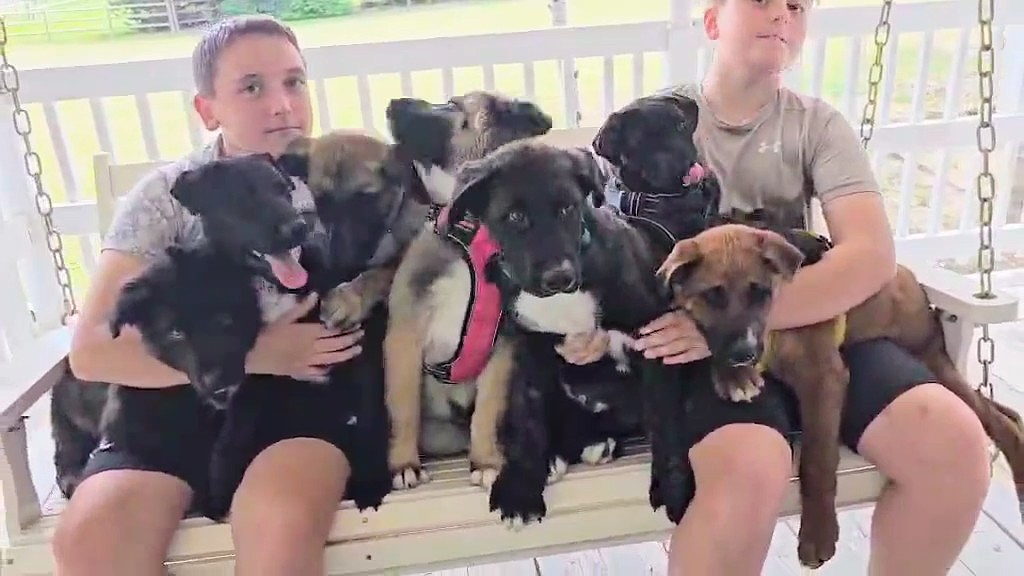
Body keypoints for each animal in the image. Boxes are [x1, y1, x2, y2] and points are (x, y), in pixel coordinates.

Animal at [657, 221, 1024, 567]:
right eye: (713, 295)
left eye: (760, 292)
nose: (745, 354)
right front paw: (733, 374)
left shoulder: (823, 378)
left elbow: (818, 459)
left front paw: (817, 535)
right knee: (1007, 413)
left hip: (933, 361)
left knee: (1003, 421)